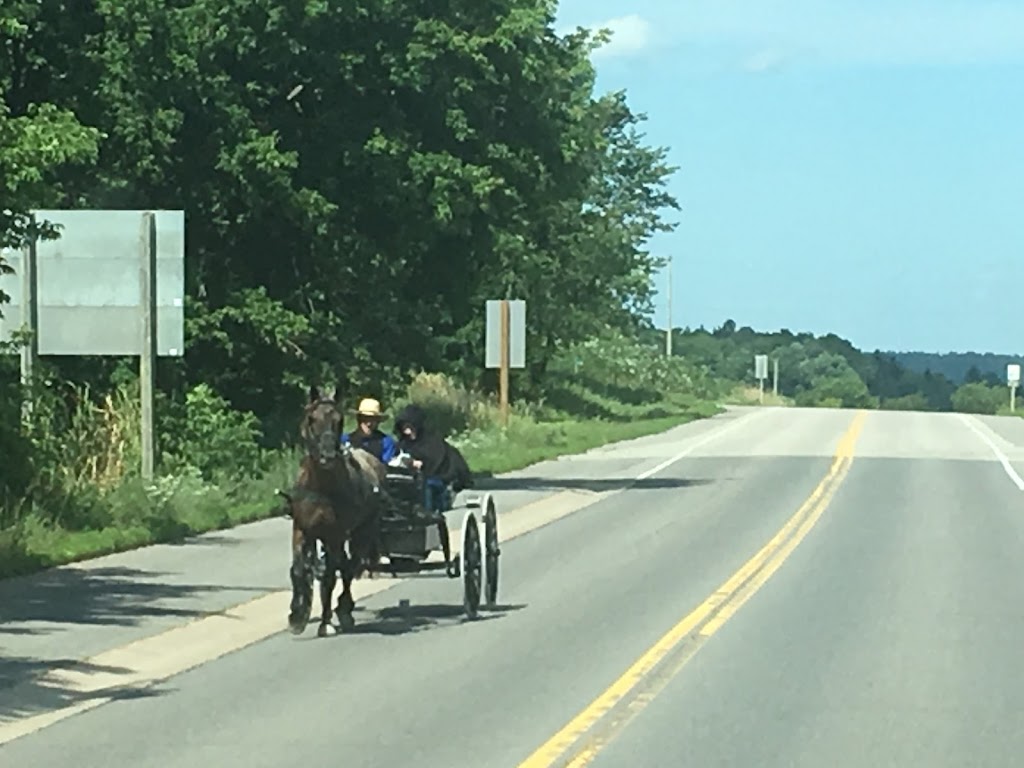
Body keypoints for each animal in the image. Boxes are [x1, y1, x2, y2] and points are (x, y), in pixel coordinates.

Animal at [280, 385, 387, 638]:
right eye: (312, 419)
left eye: (339, 420)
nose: (327, 456)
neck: (321, 488)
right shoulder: (302, 529)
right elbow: (298, 570)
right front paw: (297, 615)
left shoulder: (334, 535)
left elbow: (330, 576)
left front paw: (325, 622)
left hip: (363, 531)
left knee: (350, 566)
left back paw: (344, 609)